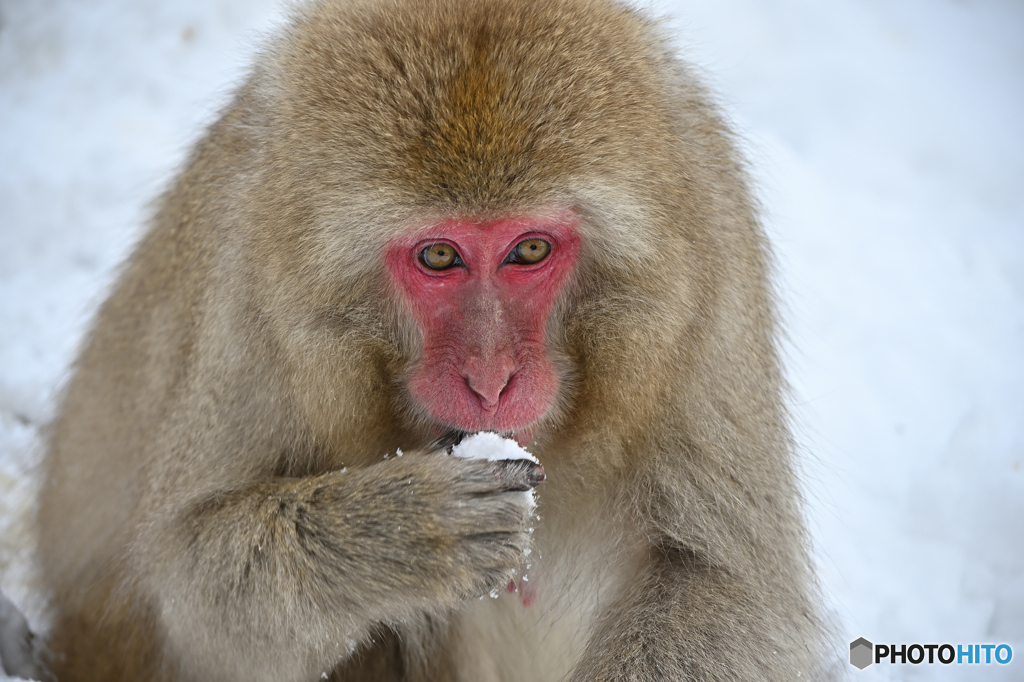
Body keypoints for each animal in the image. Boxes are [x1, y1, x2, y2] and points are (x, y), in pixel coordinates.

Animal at [36, 1, 827, 679]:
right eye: (440, 256)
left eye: (529, 250)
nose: (491, 379)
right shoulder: (254, 289)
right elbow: (192, 581)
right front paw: (401, 531)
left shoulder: (709, 266)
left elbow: (721, 585)